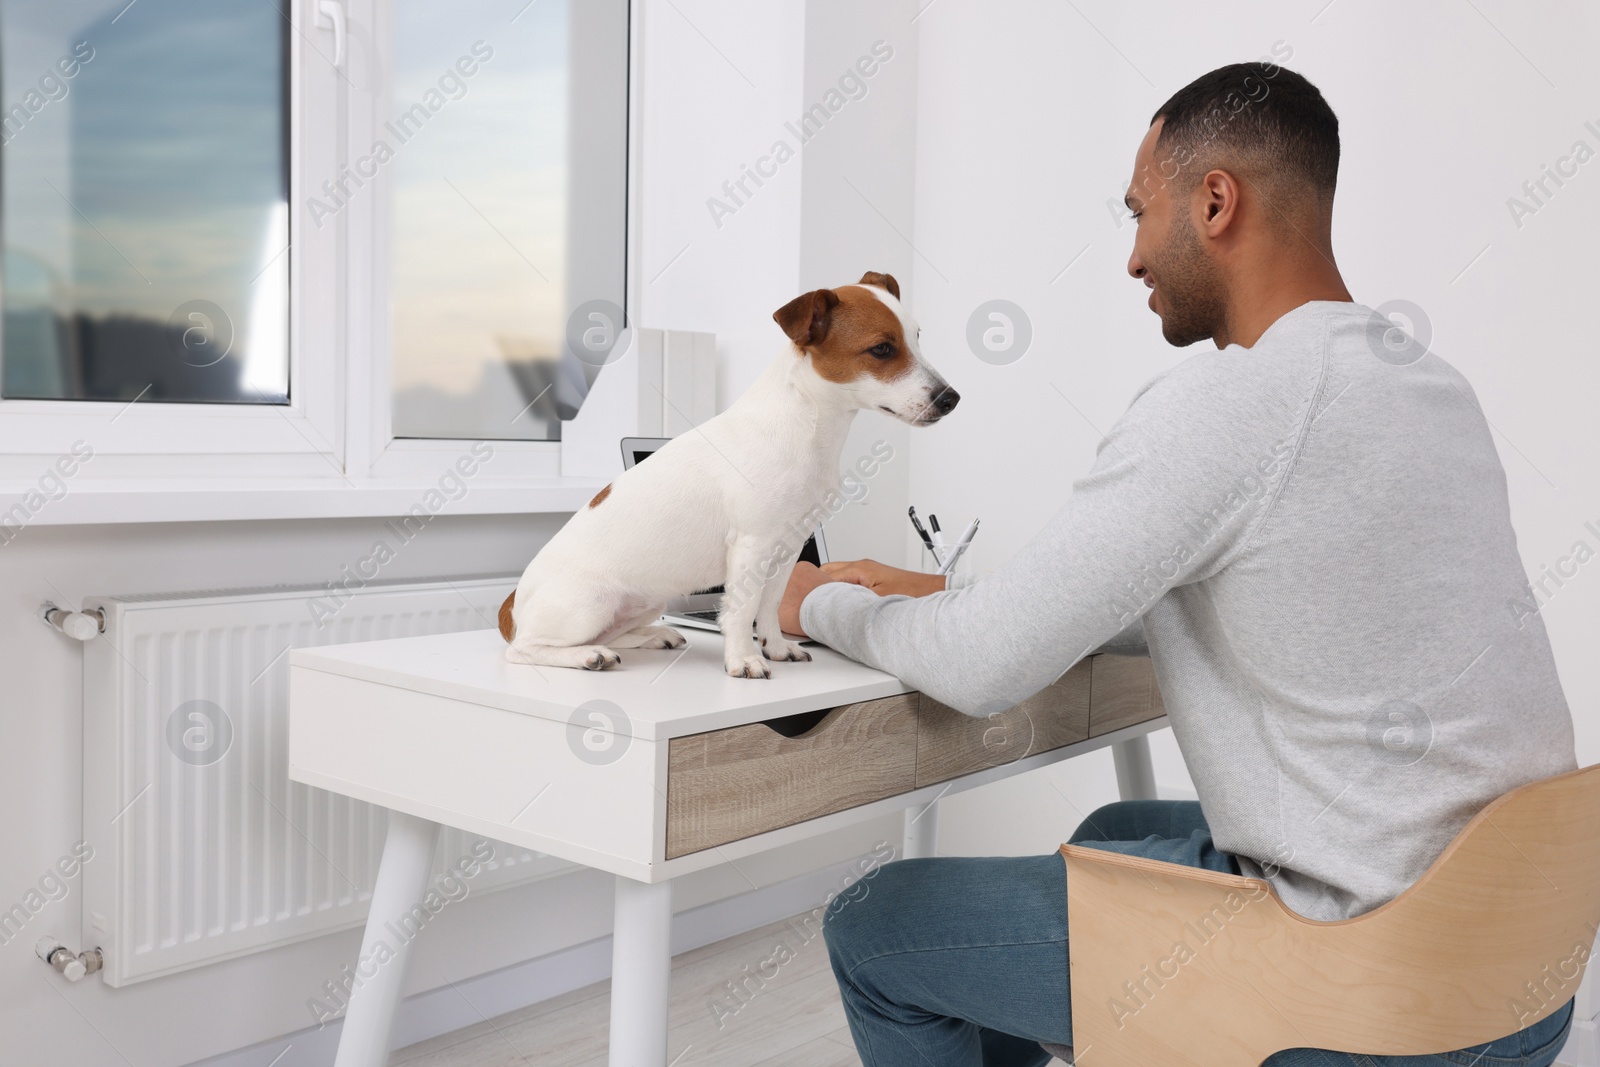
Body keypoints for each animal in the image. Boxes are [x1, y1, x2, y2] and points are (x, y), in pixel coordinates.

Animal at [492, 271, 953, 681]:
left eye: (918, 338)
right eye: (882, 349)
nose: (952, 398)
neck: (806, 426)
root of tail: (514, 602)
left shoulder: (788, 547)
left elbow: (769, 607)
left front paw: (776, 646)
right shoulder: (752, 545)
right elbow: (742, 610)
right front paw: (744, 659)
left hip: (643, 602)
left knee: (611, 633)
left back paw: (654, 635)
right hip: (591, 605)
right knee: (526, 650)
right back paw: (588, 656)